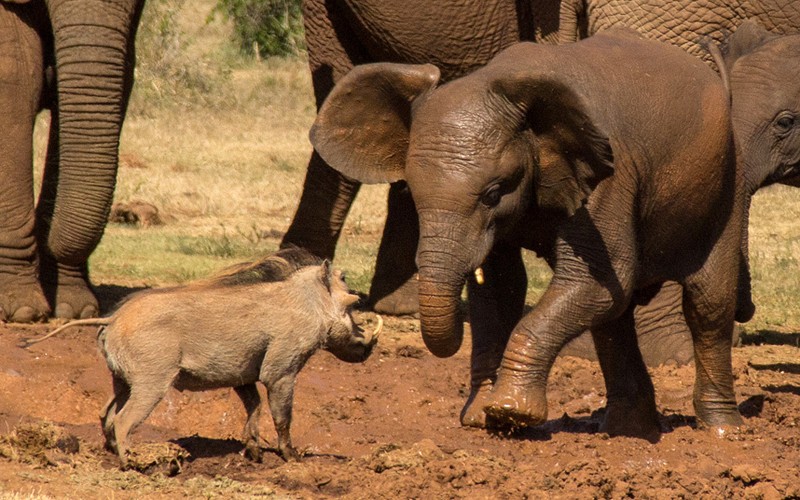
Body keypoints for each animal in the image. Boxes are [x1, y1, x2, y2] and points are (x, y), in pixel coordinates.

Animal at [31, 252, 382, 466]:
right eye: (349, 292)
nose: (368, 351)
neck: (308, 303)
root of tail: (113, 318)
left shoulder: (243, 375)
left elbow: (253, 409)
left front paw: (254, 453)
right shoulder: (282, 372)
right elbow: (282, 416)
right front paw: (292, 458)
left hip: (122, 380)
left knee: (106, 414)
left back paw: (113, 453)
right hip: (151, 383)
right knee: (123, 419)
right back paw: (132, 463)